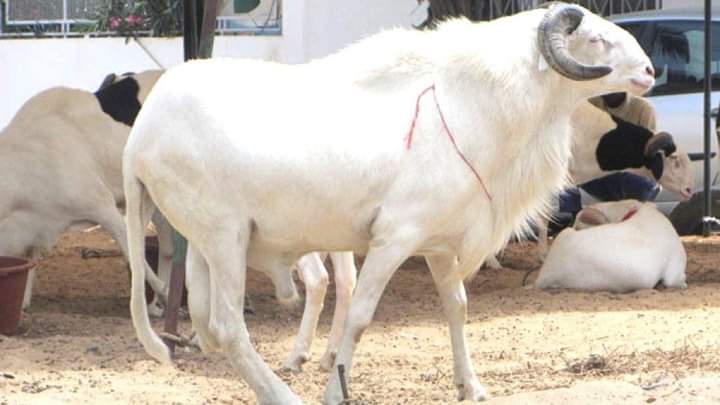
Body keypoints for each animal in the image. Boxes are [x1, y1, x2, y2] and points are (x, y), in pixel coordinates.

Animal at [122, 3, 652, 404]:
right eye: (597, 41)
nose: (649, 71)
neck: (468, 102)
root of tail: (142, 132)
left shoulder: (439, 246)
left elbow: (457, 309)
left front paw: (471, 386)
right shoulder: (394, 238)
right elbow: (359, 317)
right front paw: (335, 391)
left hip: (203, 246)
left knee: (210, 325)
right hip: (224, 237)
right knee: (230, 327)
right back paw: (283, 395)